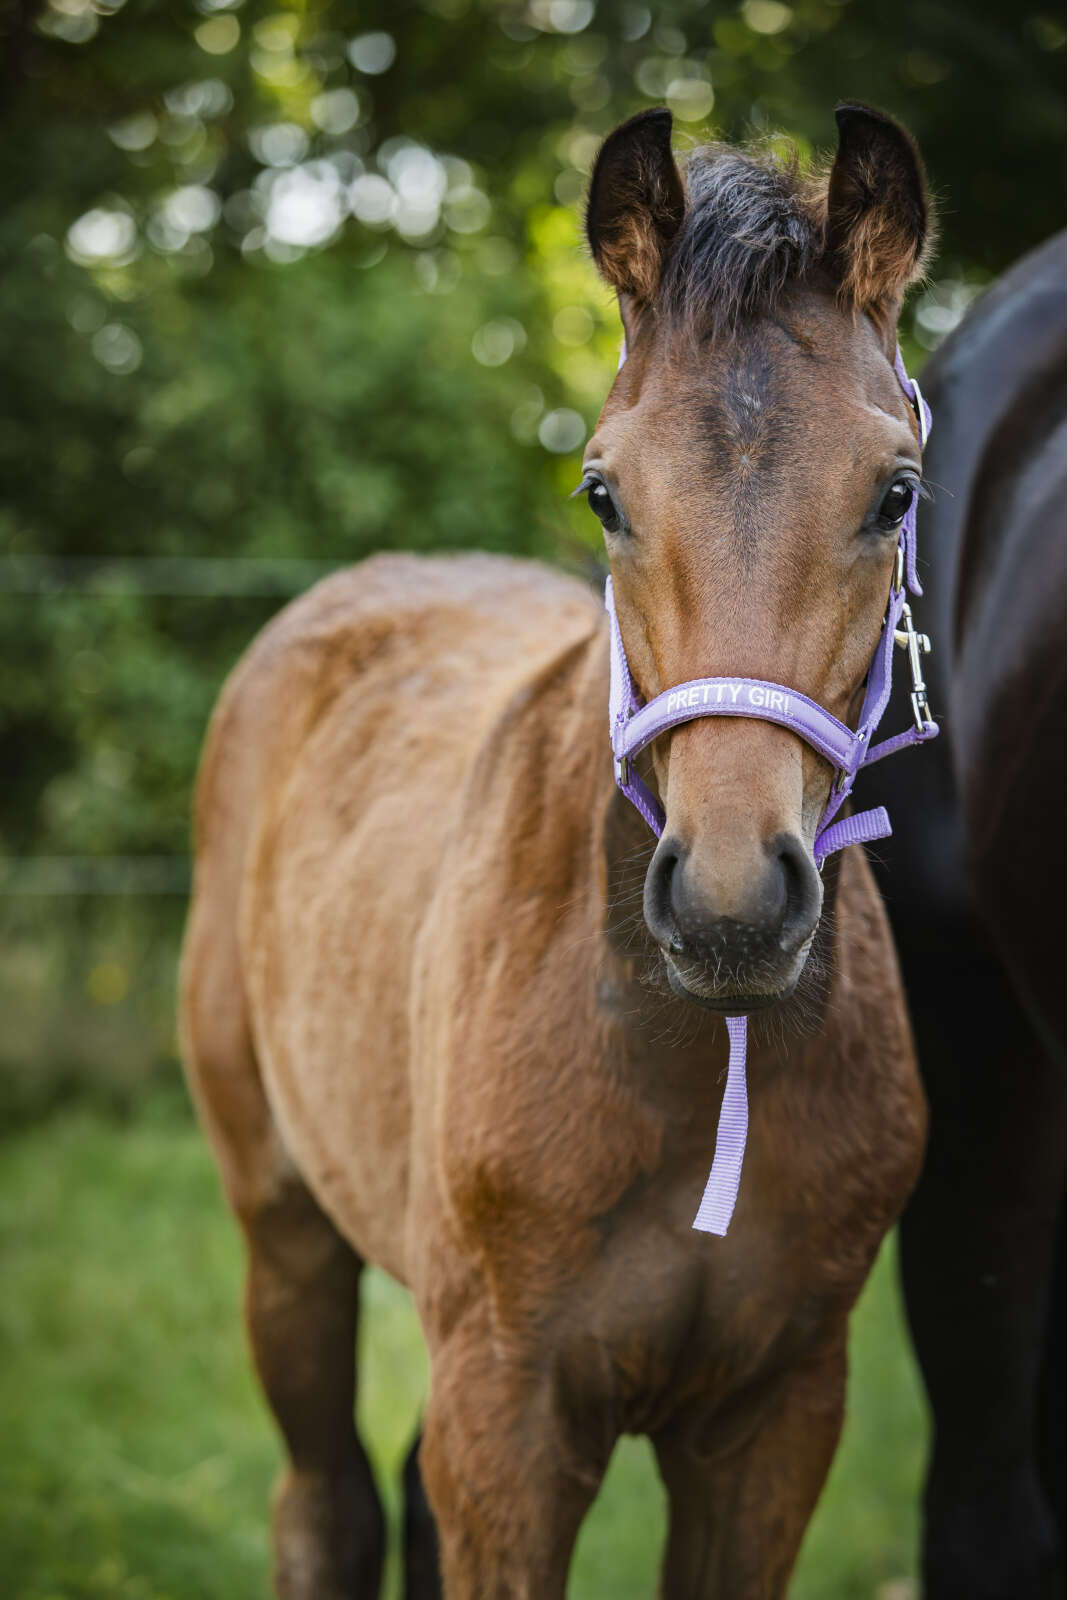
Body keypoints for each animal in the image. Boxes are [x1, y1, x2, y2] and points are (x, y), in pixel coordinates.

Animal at [181, 103, 934, 1598]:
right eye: (602, 492)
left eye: (892, 491)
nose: (727, 906)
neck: (697, 1063)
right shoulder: (508, 1415)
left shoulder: (773, 1421)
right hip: (284, 1232)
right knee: (325, 1501)